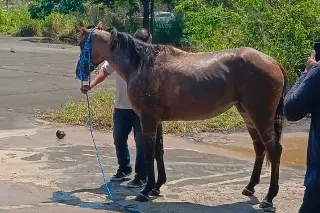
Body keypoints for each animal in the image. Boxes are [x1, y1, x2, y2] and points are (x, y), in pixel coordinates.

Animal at [74, 22, 288, 211]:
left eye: (82, 45)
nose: (79, 73)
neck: (142, 63)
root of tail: (273, 62)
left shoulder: (148, 119)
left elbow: (148, 152)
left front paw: (145, 190)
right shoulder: (156, 120)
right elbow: (158, 151)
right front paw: (156, 187)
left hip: (260, 116)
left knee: (274, 150)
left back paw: (269, 198)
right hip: (247, 115)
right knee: (259, 148)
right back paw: (250, 188)